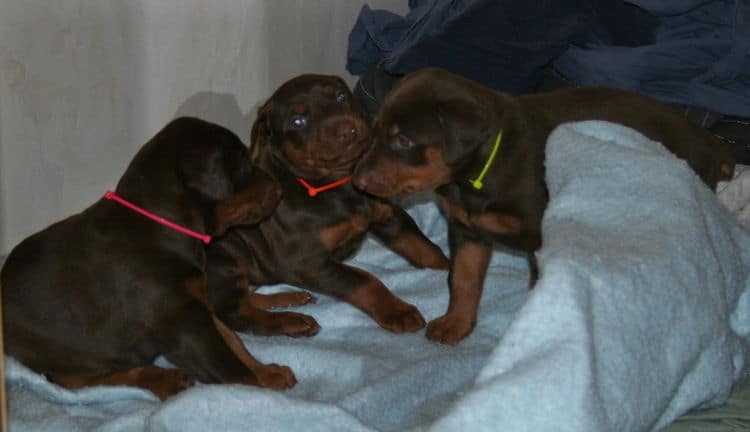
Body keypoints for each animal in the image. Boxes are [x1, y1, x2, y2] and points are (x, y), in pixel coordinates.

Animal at [1, 117, 298, 398]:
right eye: (241, 162)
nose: (280, 191)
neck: (162, 225)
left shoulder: (195, 303)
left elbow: (234, 342)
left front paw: (268, 373)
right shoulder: (181, 320)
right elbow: (228, 364)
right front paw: (258, 390)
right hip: (71, 352)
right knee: (77, 380)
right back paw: (164, 380)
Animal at [206, 75, 450, 338]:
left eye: (340, 96)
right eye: (298, 121)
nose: (347, 130)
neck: (336, 184)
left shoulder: (388, 217)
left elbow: (423, 246)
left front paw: (450, 269)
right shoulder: (305, 261)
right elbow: (363, 279)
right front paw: (397, 311)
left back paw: (290, 297)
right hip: (224, 255)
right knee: (236, 313)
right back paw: (292, 321)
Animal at [356, 66, 736, 344]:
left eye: (403, 140)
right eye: (373, 130)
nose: (358, 180)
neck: (475, 175)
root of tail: (711, 142)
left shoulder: (541, 235)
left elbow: (538, 286)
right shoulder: (467, 230)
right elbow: (462, 280)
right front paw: (456, 324)